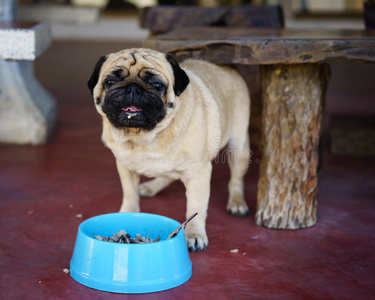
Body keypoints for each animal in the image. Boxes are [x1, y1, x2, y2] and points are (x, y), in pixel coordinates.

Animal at [88, 48, 251, 251]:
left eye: (157, 85)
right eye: (109, 82)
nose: (132, 88)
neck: (147, 137)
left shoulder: (198, 173)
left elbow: (195, 206)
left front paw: (194, 235)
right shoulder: (125, 167)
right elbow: (129, 194)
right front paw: (127, 212)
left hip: (238, 146)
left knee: (236, 179)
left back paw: (237, 202)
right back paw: (151, 187)